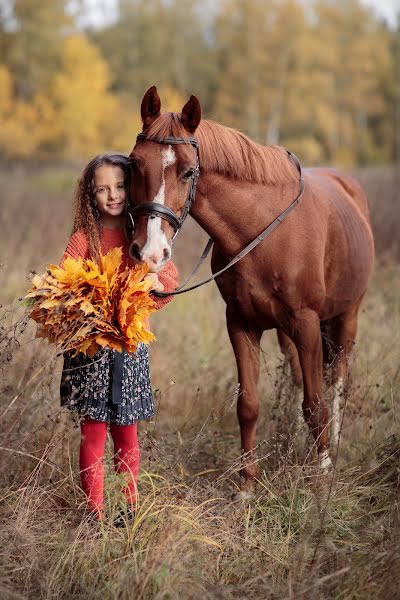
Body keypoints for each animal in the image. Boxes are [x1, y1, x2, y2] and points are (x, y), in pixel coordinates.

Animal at [128, 86, 376, 494]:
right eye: (134, 165)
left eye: (188, 171)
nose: (150, 252)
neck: (260, 228)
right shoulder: (242, 324)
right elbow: (249, 406)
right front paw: (247, 484)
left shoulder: (308, 324)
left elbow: (317, 402)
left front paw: (322, 474)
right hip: (287, 334)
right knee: (298, 377)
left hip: (346, 316)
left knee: (337, 380)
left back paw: (331, 445)